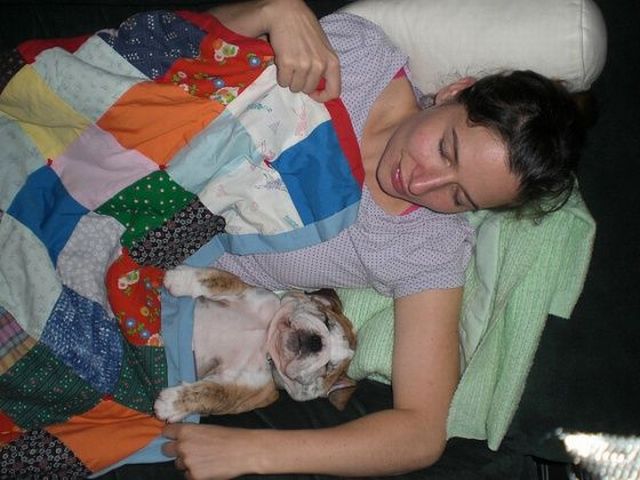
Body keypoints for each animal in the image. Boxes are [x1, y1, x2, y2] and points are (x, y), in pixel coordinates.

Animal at [154, 265, 357, 423]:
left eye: (327, 368)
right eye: (326, 321)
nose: (316, 342)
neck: (266, 341)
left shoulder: (248, 387)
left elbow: (213, 393)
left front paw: (171, 404)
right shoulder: (253, 293)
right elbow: (219, 280)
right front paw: (180, 279)